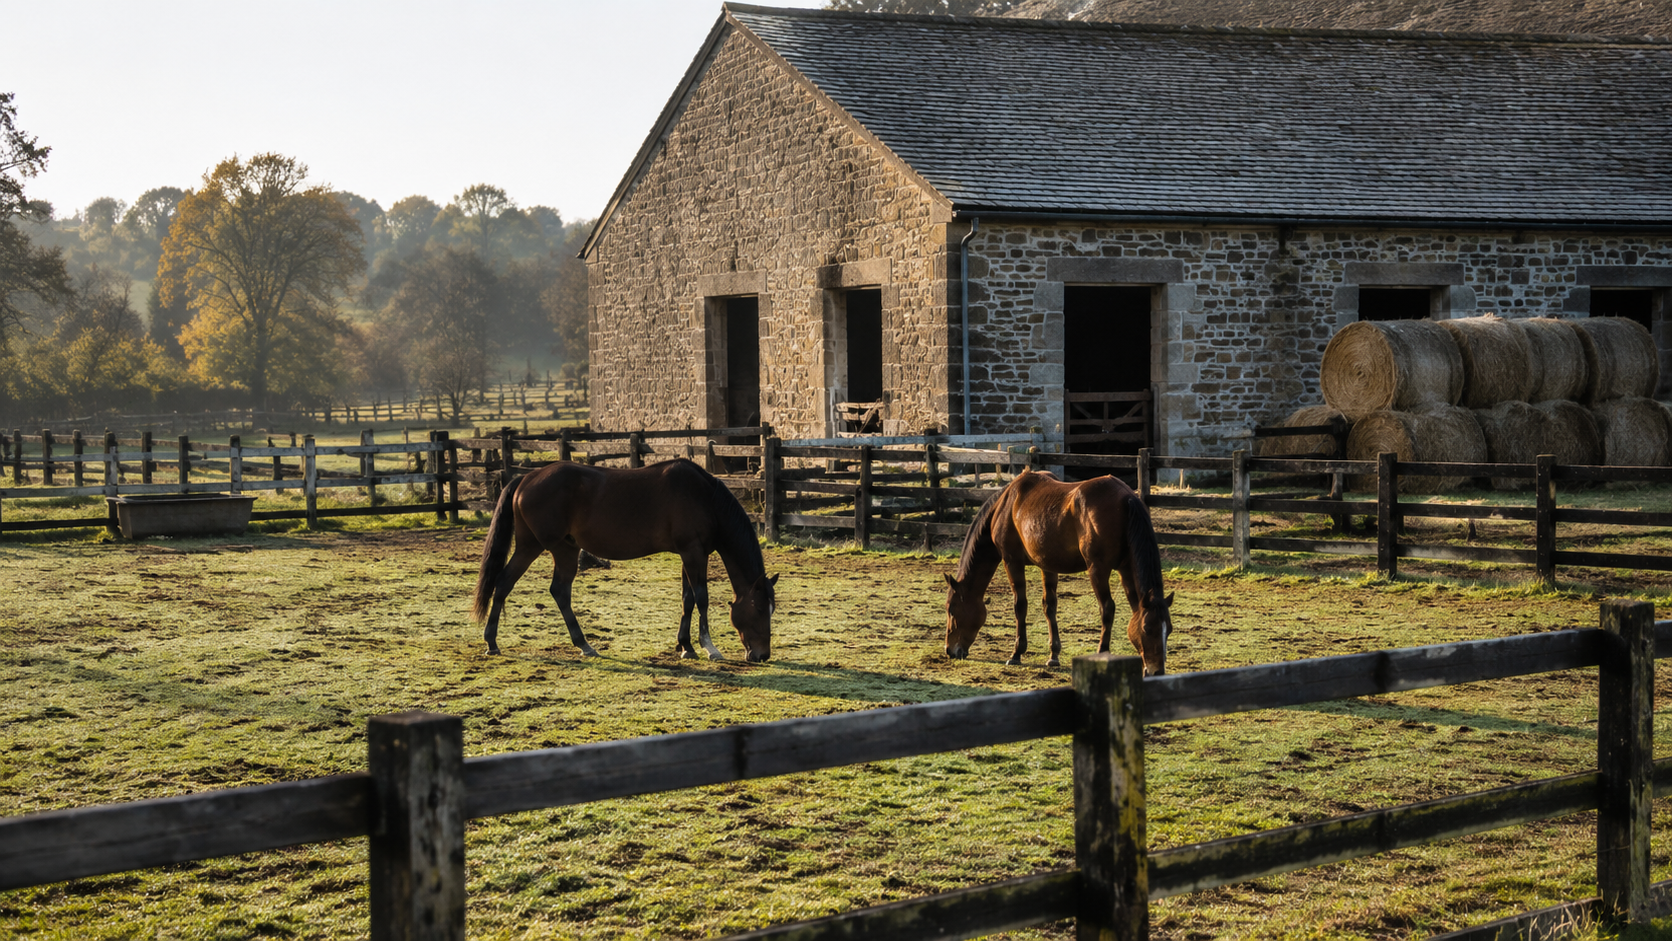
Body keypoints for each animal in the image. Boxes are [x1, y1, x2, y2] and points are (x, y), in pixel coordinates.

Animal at [472, 458, 778, 661]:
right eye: (759, 609)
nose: (762, 655)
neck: (705, 498)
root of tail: (525, 479)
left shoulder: (688, 554)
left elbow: (687, 599)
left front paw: (685, 646)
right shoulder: (694, 552)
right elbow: (701, 598)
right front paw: (709, 647)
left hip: (554, 548)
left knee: (535, 587)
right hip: (541, 547)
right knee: (524, 585)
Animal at [943, 469, 1174, 676]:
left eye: (952, 609)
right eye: (1149, 629)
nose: (950, 650)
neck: (1007, 505)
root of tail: (1127, 497)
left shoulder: (1011, 561)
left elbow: (1020, 606)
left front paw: (1017, 653)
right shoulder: (1048, 566)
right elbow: (1050, 606)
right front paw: (1053, 655)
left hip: (1098, 570)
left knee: (1107, 608)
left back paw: (1102, 653)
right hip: (1124, 570)